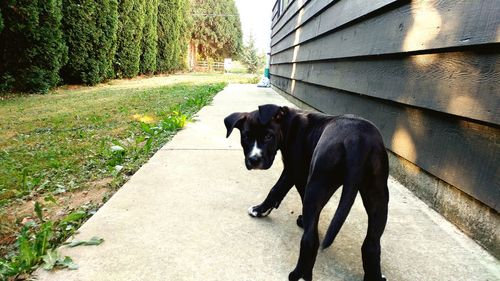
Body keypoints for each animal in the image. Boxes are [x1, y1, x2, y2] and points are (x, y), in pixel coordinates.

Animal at [224, 103, 390, 280]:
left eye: (268, 136)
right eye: (246, 137)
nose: (254, 160)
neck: (288, 123)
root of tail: (357, 141)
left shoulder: (294, 171)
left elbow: (277, 189)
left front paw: (261, 210)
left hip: (317, 185)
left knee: (310, 240)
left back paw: (299, 274)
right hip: (378, 194)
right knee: (371, 244)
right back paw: (375, 276)